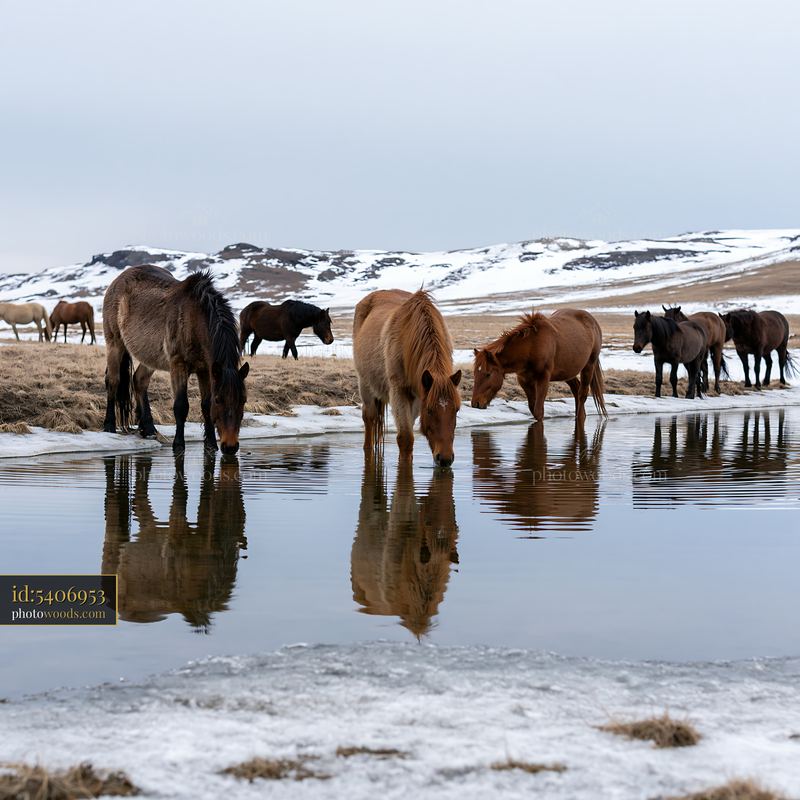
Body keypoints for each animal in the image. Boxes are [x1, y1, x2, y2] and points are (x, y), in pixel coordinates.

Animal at [102, 266, 249, 454]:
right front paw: (179, 444)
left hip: (150, 357)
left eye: (243, 400)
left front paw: (210, 444)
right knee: (113, 381)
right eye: (219, 399)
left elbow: (205, 406)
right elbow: (181, 406)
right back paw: (109, 426)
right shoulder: (178, 365)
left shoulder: (204, 369)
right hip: (115, 344)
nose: (230, 447)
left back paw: (148, 429)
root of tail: (119, 279)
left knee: (139, 380)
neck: (194, 320)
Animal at [353, 289, 462, 466]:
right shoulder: (399, 391)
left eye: (457, 409)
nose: (445, 459)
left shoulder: (418, 396)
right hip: (365, 385)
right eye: (429, 410)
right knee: (369, 418)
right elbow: (405, 438)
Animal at [471, 308, 606, 425]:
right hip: (567, 371)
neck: (531, 347)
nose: (475, 403)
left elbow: (538, 411)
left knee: (582, 394)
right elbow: (533, 408)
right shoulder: (524, 380)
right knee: (576, 389)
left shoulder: (543, 378)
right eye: (475, 374)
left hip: (589, 366)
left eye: (488, 374)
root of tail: (593, 321)